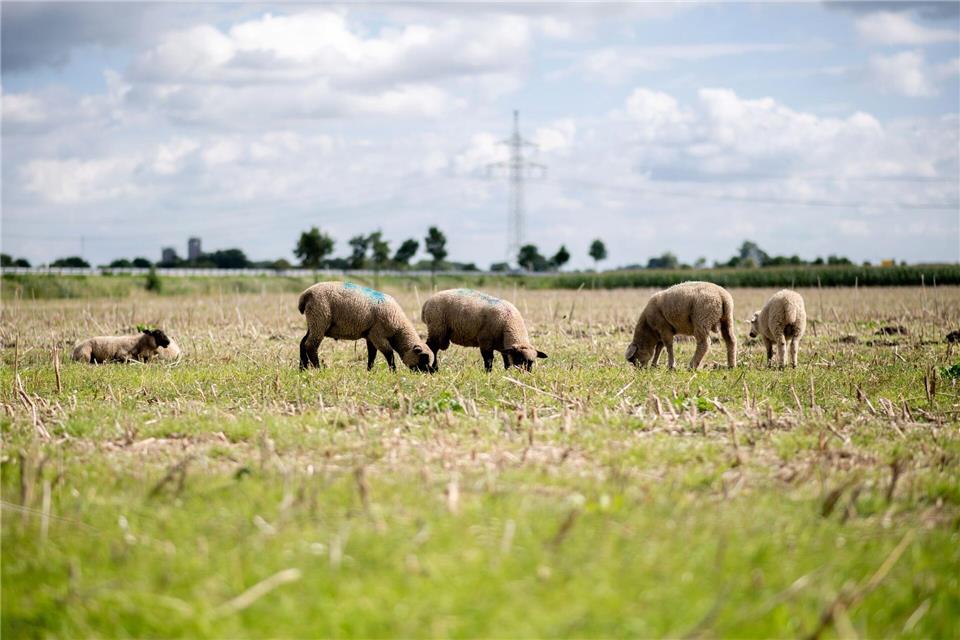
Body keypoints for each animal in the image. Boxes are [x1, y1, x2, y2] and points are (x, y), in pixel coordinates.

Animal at [298, 281, 433, 372]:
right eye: (424, 358)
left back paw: (302, 368)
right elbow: (389, 353)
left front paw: (369, 370)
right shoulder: (378, 334)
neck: (398, 329)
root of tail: (306, 294)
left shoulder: (370, 335)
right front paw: (394, 371)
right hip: (319, 318)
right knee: (310, 345)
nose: (429, 373)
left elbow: (372, 354)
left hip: (314, 322)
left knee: (303, 343)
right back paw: (317, 368)